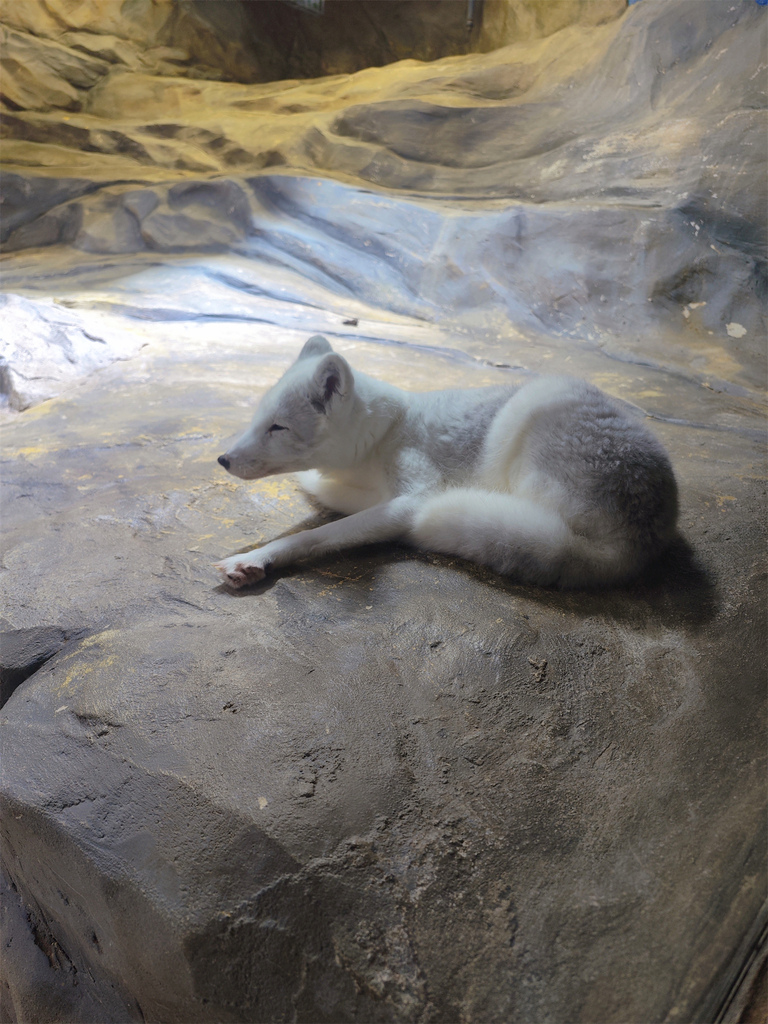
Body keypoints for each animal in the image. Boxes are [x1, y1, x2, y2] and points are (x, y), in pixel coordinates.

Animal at [217, 335, 679, 589]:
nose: (222, 459)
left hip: (536, 405)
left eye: (278, 427)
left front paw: (260, 557)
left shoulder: (413, 501)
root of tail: (640, 541)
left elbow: (318, 535)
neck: (382, 434)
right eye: (258, 418)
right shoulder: (365, 494)